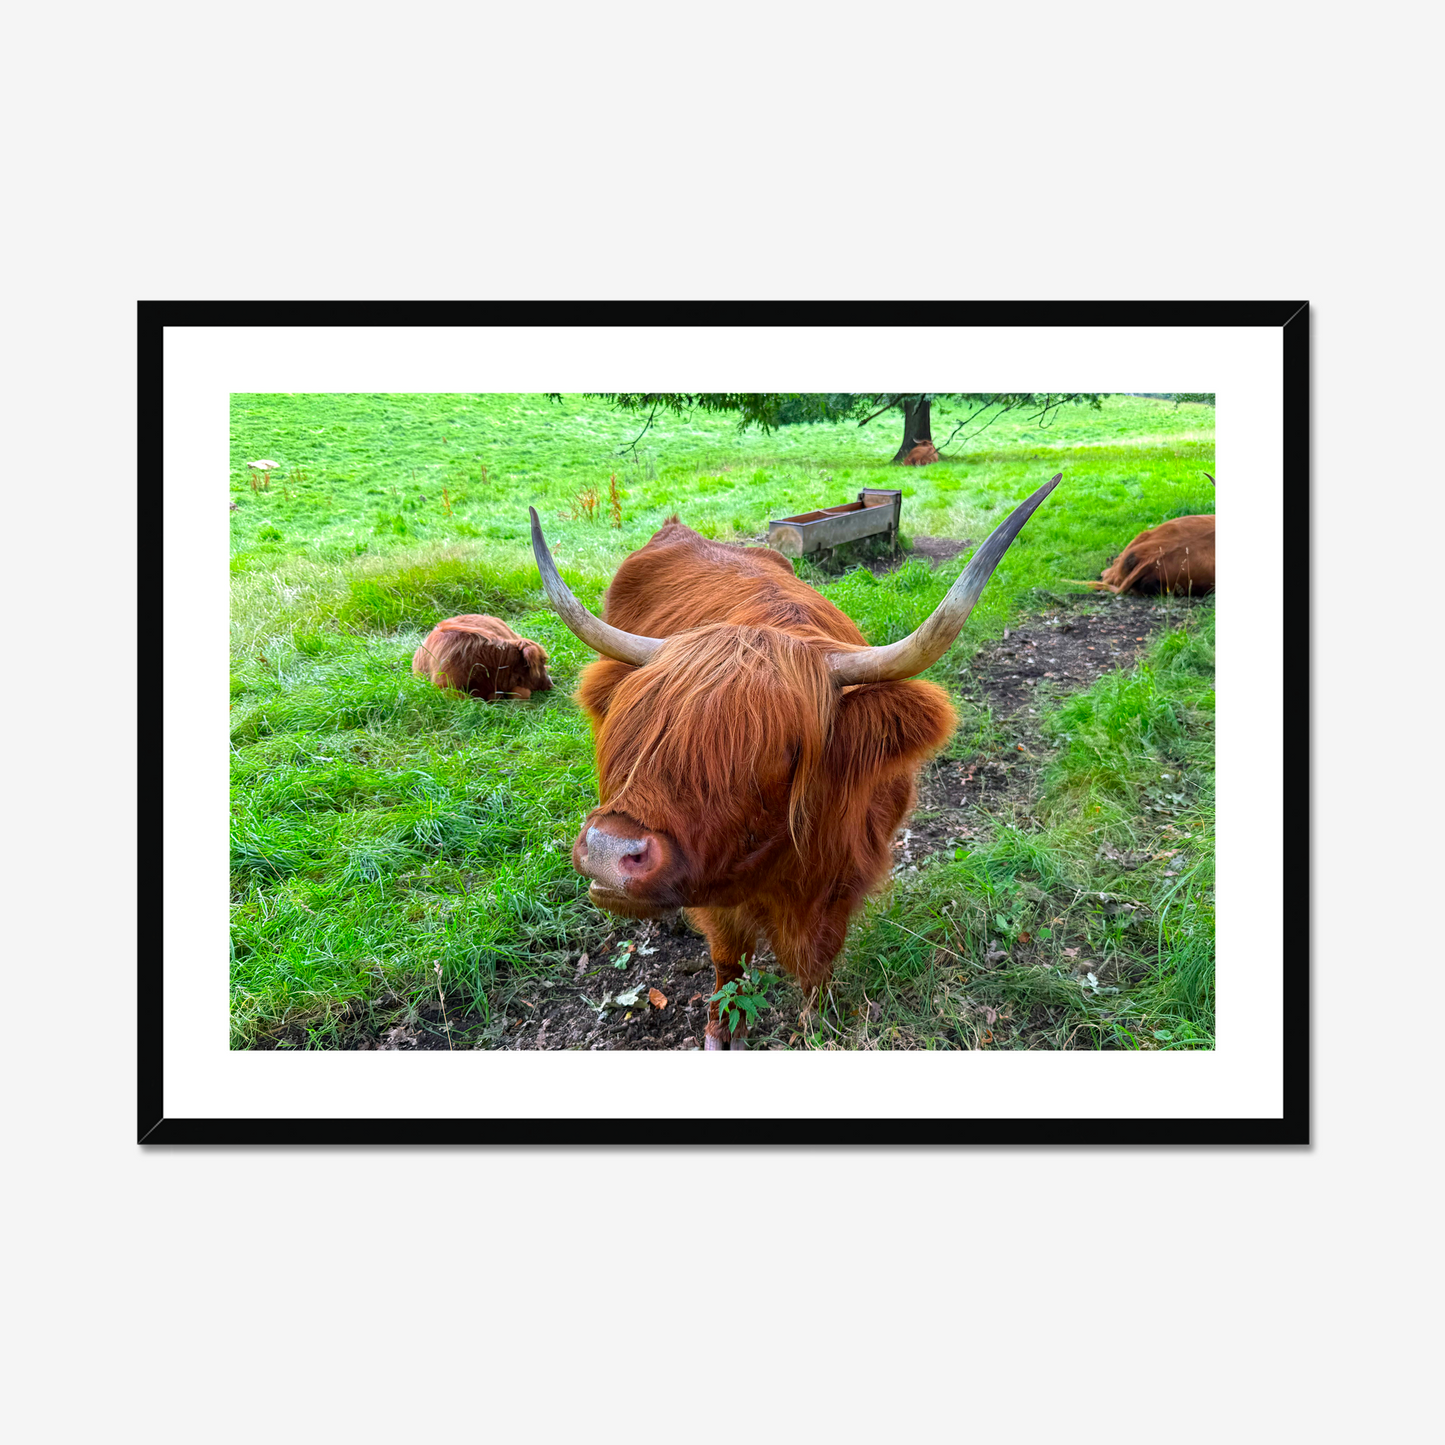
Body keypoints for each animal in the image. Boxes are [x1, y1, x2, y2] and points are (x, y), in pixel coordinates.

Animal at [528, 473, 1062, 1049]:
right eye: (641, 726)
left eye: (779, 749)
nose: (609, 851)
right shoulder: (719, 894)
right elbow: (728, 959)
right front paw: (722, 1030)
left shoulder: (845, 878)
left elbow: (818, 960)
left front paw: (818, 1020)